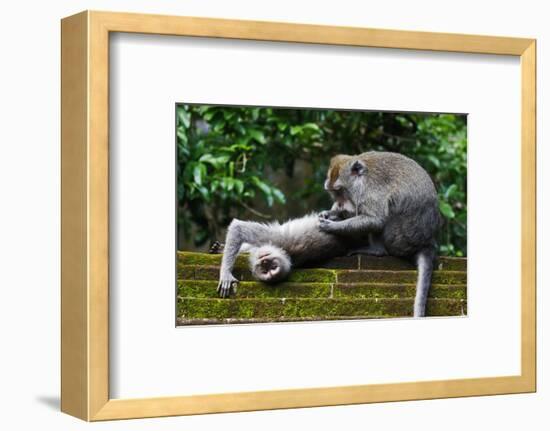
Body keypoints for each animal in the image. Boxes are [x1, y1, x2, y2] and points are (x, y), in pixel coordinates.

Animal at [217, 212, 366, 298]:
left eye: (272, 267)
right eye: (265, 269)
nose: (264, 261)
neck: (287, 253)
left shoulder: (278, 239)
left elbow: (238, 228)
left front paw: (225, 274)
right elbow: (239, 231)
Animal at [322, 152, 442, 318]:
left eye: (340, 191)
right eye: (333, 193)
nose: (339, 204)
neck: (361, 179)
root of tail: (427, 242)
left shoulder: (369, 191)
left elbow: (376, 220)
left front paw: (333, 225)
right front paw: (330, 213)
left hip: (399, 238)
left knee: (387, 211)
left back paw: (375, 250)